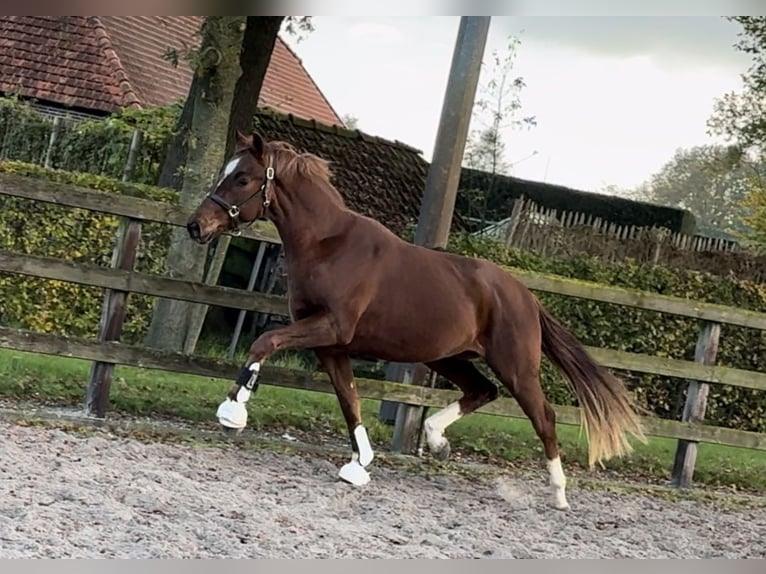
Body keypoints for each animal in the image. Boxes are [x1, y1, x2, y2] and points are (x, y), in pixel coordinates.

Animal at [189, 133, 644, 510]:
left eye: (243, 178)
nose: (197, 226)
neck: (329, 246)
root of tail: (526, 295)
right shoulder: (331, 345)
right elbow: (349, 400)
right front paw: (359, 465)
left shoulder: (331, 328)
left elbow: (264, 341)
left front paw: (233, 412)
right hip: (447, 357)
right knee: (483, 391)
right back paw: (436, 439)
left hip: (516, 367)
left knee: (543, 417)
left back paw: (559, 494)